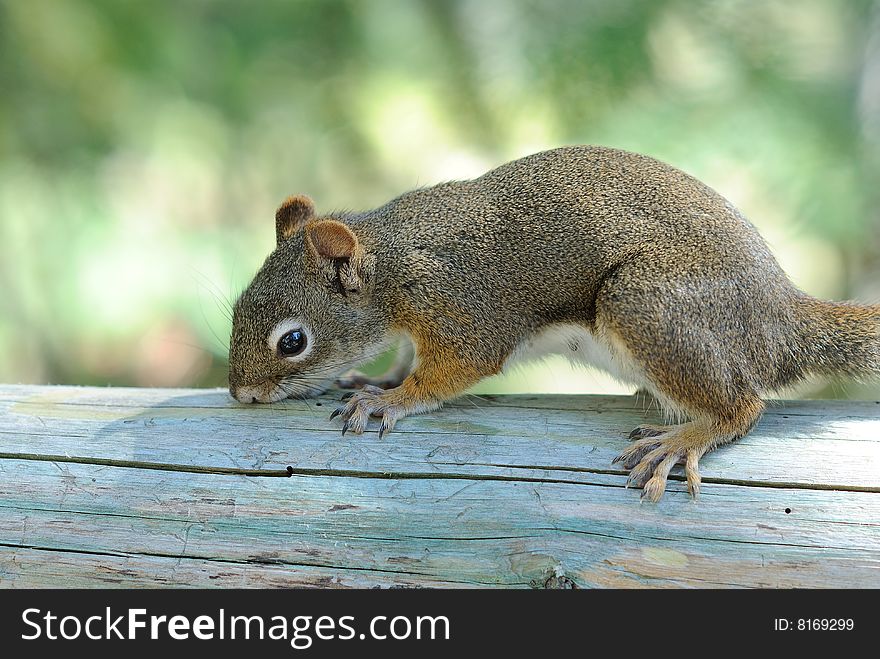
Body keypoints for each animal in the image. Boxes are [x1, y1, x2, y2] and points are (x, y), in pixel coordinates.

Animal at [229, 147, 880, 502]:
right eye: (237, 307)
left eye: (293, 341)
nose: (240, 394)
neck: (392, 263)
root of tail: (779, 317)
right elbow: (409, 358)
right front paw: (379, 380)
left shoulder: (462, 308)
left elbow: (453, 370)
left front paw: (390, 400)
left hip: (644, 302)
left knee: (745, 406)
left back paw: (683, 439)